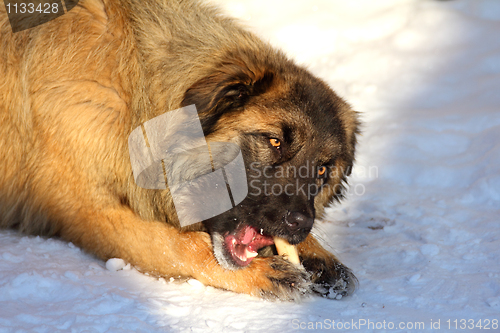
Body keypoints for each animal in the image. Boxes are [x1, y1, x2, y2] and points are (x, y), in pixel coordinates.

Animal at [0, 0, 360, 300]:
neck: (137, 102)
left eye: (323, 170)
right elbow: (176, 245)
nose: (301, 223)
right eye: (274, 141)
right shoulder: (87, 211)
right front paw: (260, 272)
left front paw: (316, 253)